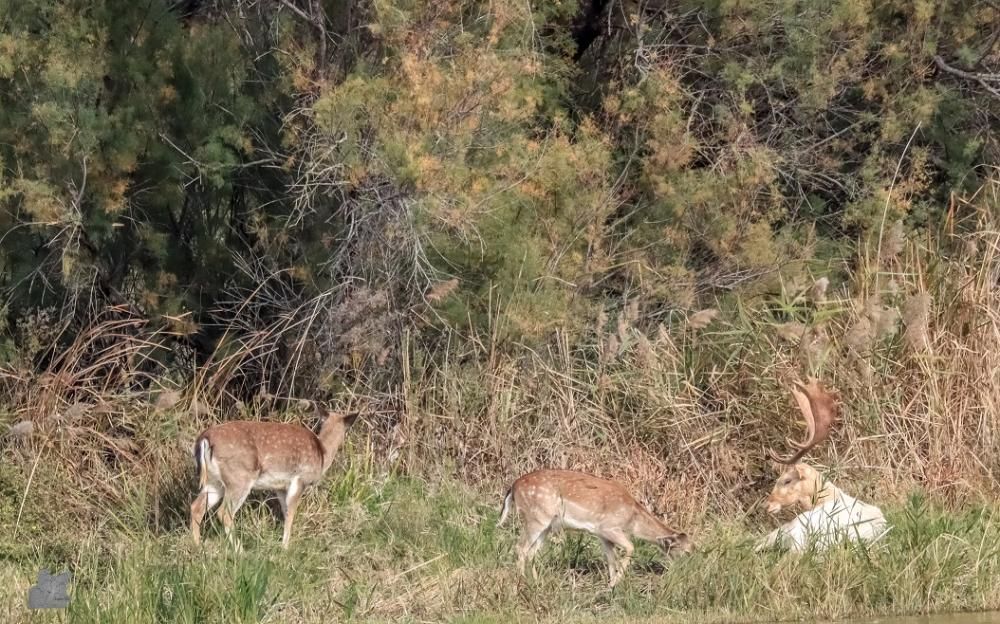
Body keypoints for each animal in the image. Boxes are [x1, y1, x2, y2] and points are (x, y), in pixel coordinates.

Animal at [188, 402, 360, 548]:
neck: (323, 453)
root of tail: (204, 439)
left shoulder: (280, 487)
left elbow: (285, 512)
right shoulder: (300, 479)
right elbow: (291, 513)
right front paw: (285, 548)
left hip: (214, 481)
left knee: (196, 507)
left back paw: (198, 546)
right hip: (239, 476)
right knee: (224, 512)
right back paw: (239, 550)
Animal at [496, 470, 692, 588]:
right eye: (686, 551)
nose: (686, 569)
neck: (631, 519)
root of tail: (512, 488)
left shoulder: (602, 535)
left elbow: (611, 559)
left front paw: (611, 585)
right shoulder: (608, 527)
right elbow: (630, 547)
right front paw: (615, 583)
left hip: (546, 525)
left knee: (531, 552)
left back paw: (537, 582)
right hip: (535, 518)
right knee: (520, 548)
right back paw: (522, 583)